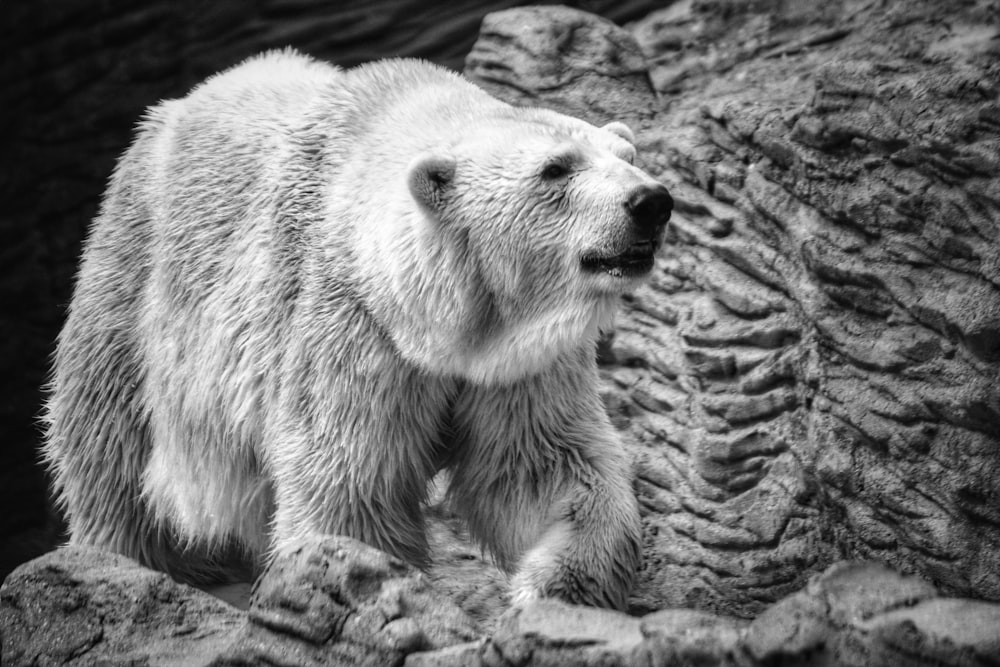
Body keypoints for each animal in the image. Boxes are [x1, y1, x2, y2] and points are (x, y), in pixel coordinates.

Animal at [45, 49, 672, 608]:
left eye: (628, 153)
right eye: (555, 168)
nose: (651, 200)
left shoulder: (517, 358)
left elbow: (546, 467)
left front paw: (548, 591)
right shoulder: (345, 328)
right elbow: (350, 487)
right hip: (135, 286)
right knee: (110, 448)